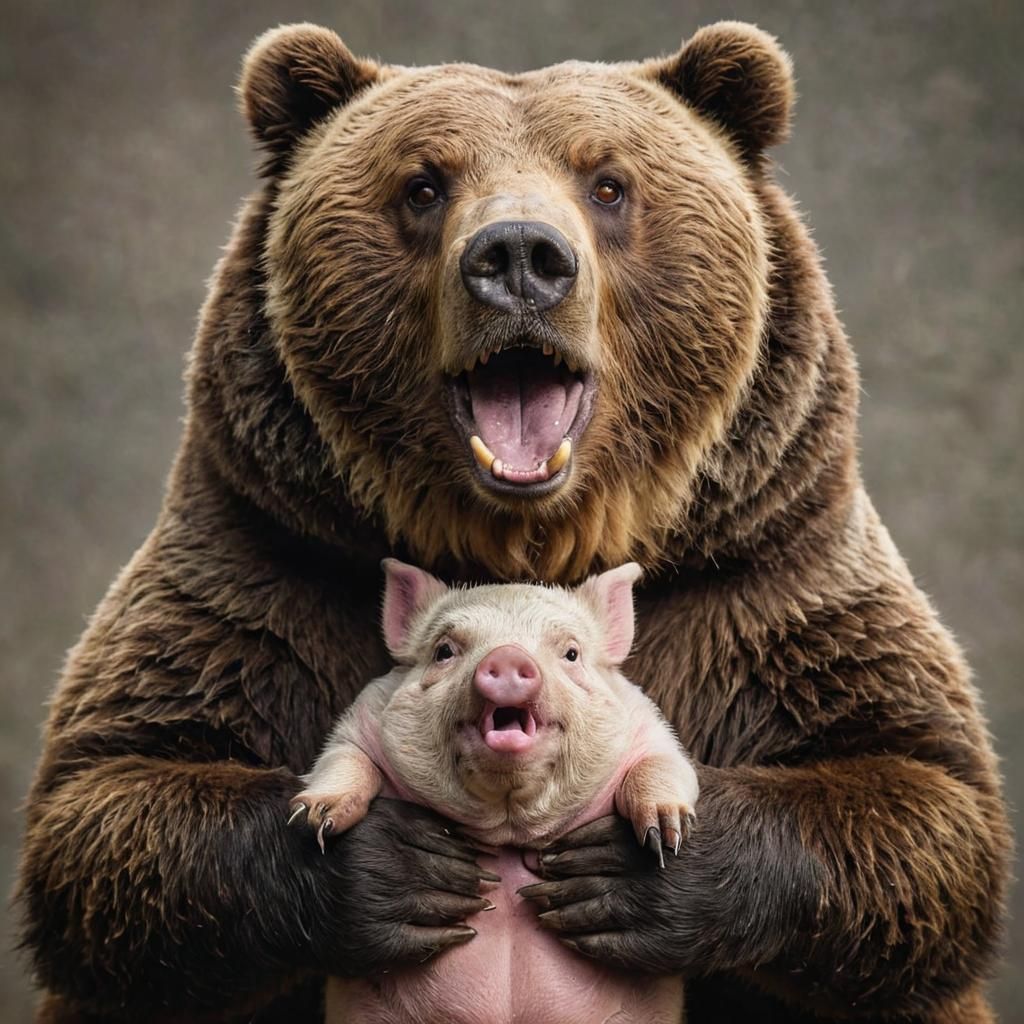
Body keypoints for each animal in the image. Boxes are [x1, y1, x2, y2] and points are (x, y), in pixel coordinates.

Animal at [289, 559, 699, 1024]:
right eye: (444, 651)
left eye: (571, 654)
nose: (507, 655)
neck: (507, 829)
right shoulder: (358, 725)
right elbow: (344, 761)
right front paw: (314, 822)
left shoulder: (653, 731)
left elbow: (662, 766)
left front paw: (666, 837)